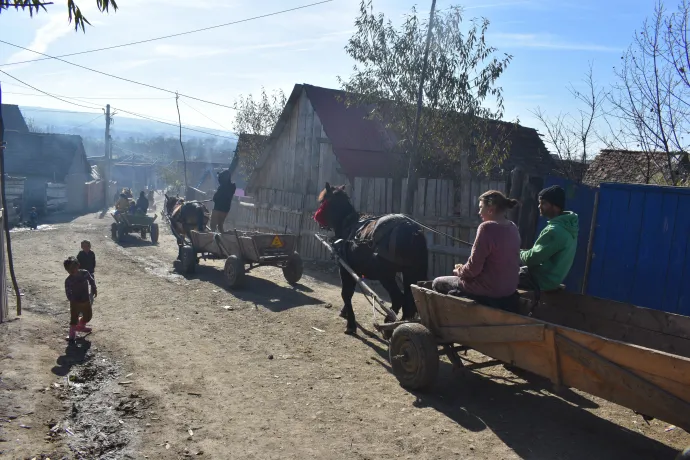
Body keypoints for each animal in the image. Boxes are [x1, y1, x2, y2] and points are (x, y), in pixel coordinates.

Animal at [314, 183, 428, 334]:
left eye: (323, 201)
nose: (315, 217)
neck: (348, 224)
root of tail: (412, 230)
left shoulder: (345, 268)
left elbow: (346, 293)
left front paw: (351, 324)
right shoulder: (354, 270)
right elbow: (350, 292)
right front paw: (345, 312)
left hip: (386, 275)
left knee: (398, 298)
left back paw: (389, 325)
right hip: (409, 273)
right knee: (407, 302)